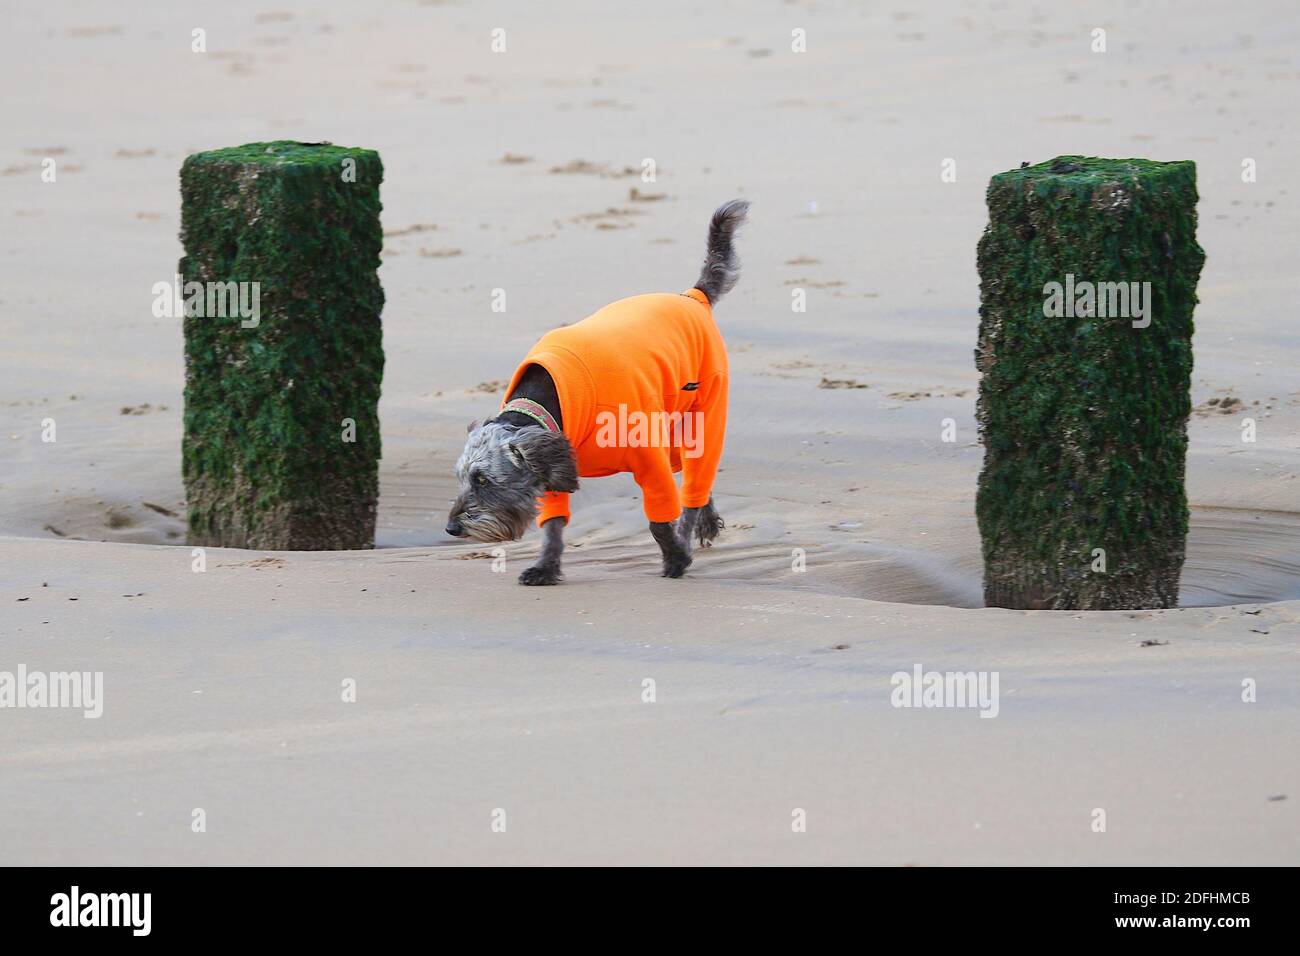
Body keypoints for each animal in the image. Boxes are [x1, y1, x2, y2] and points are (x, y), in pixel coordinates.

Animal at [449, 199, 748, 582]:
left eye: (483, 480)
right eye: (461, 478)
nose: (451, 529)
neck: (546, 399)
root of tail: (693, 297)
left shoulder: (648, 461)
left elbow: (659, 520)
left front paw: (676, 557)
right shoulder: (553, 468)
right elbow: (553, 525)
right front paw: (546, 568)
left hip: (702, 420)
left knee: (695, 483)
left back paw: (690, 529)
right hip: (670, 431)